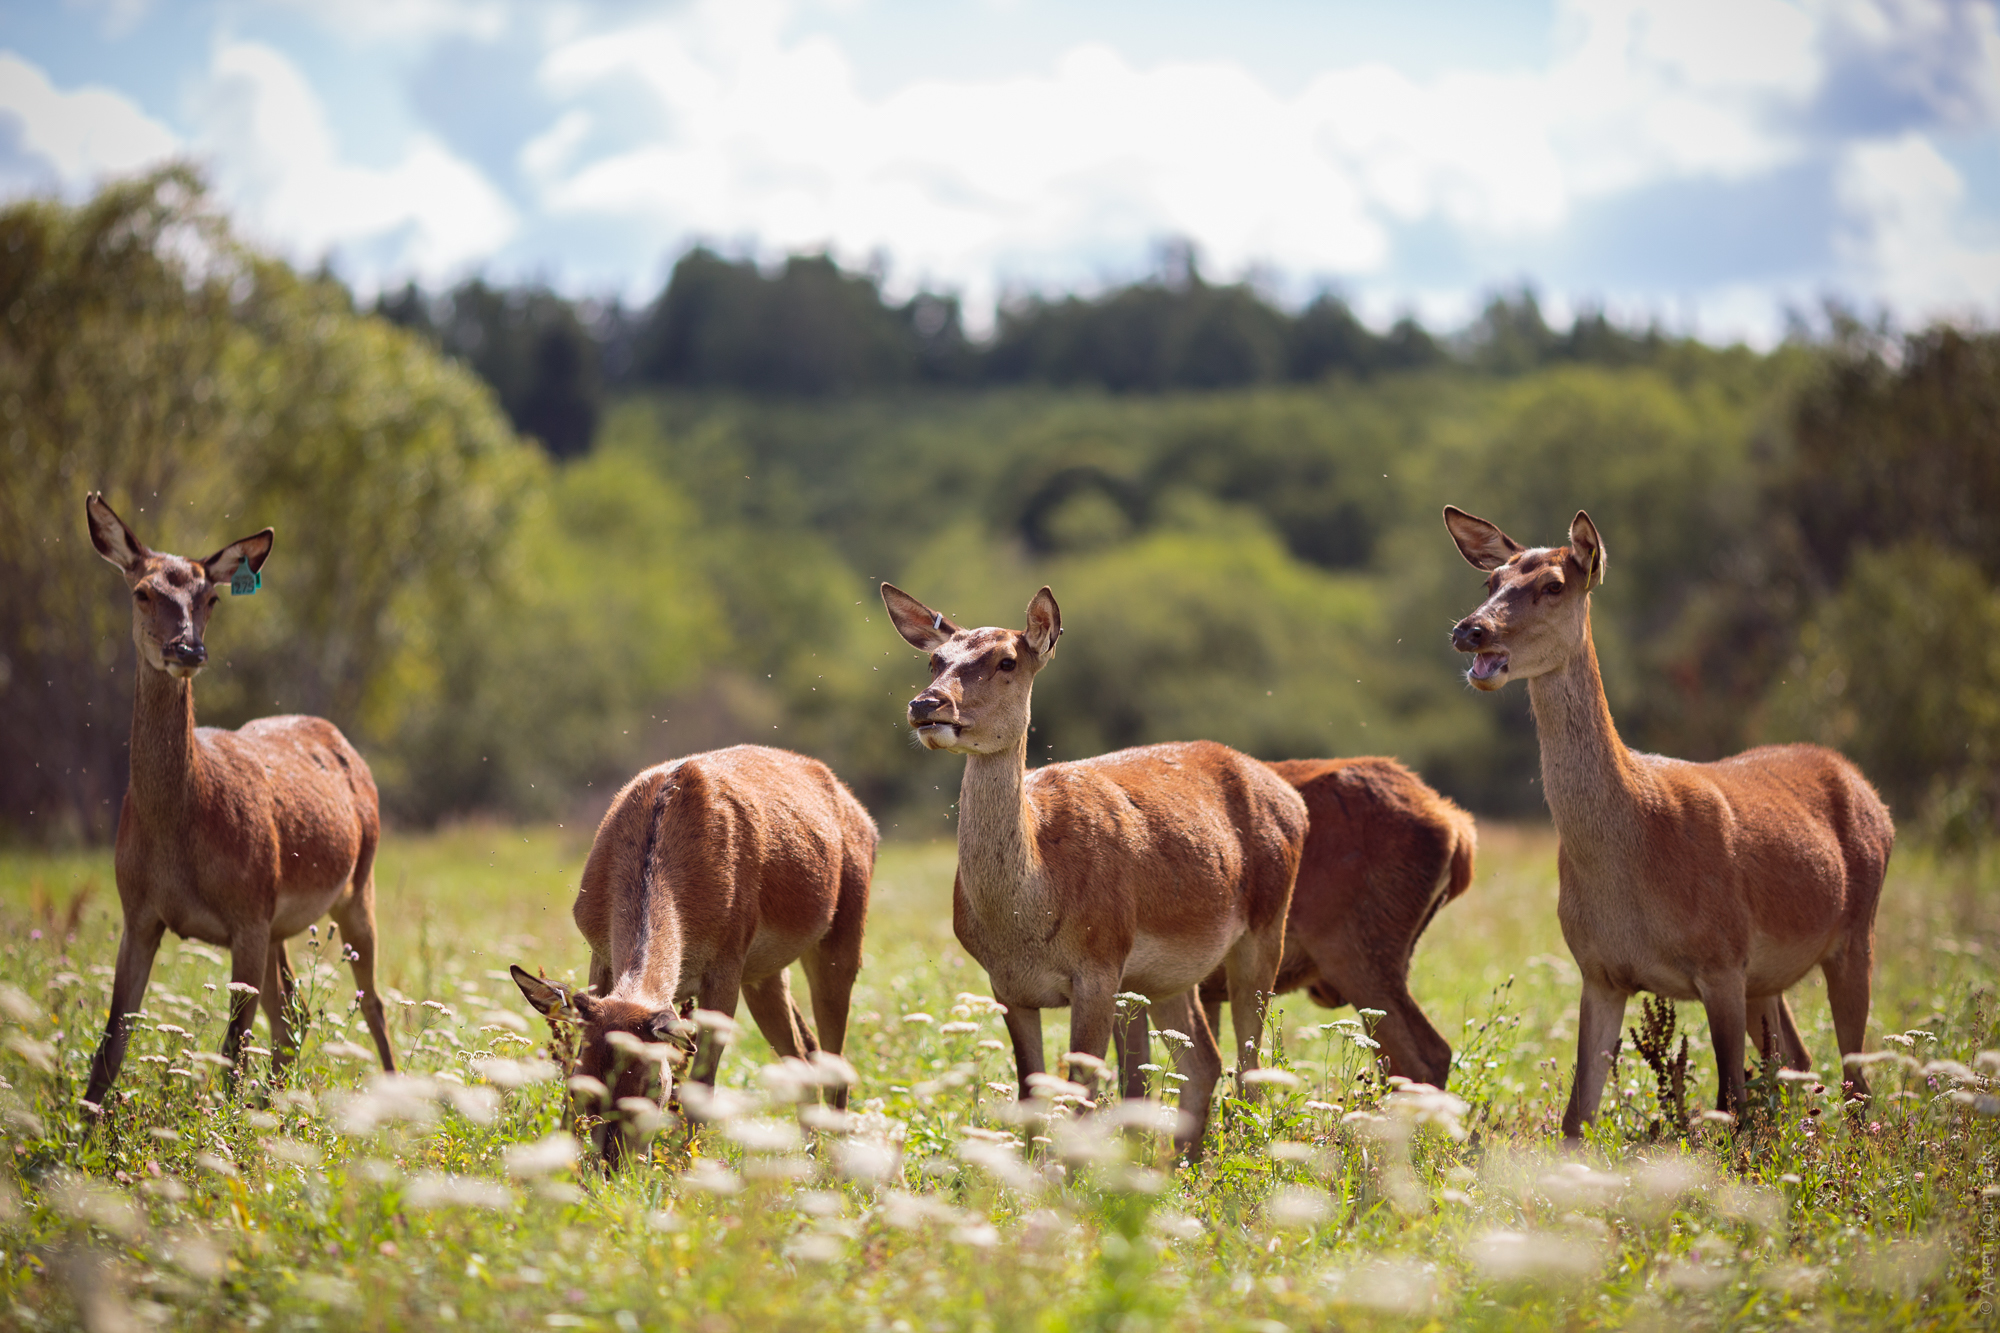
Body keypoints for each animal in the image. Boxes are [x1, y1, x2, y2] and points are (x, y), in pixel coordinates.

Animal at [82, 492, 394, 1104]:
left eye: (212, 598)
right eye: (142, 591)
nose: (187, 648)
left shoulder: (248, 910)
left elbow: (231, 1051)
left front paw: (221, 1127)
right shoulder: (138, 911)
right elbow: (110, 1044)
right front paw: (84, 1124)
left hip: (357, 885)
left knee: (369, 1002)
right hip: (280, 922)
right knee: (295, 1012)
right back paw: (276, 1106)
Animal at [512, 740, 872, 1160]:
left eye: (653, 1082)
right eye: (586, 1082)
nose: (613, 1164)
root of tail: (860, 812)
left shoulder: (726, 964)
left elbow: (702, 1085)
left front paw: (689, 1164)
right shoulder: (599, 954)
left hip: (843, 936)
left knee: (834, 1057)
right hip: (765, 974)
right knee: (802, 1050)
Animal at [884, 580, 1304, 1152]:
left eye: (1007, 660)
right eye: (935, 660)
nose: (927, 704)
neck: (1029, 917)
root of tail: (1293, 799)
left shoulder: (1099, 967)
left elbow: (1080, 1096)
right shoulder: (1006, 986)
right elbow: (1032, 1096)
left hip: (1266, 928)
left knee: (1250, 1065)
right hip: (1166, 976)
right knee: (1203, 1060)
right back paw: (1183, 1164)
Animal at [1440, 500, 1888, 1128]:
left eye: (1554, 585)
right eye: (1491, 581)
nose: (1470, 630)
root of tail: (1866, 787)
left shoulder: (1722, 960)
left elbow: (1730, 1108)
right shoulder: (1599, 970)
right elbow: (1576, 1116)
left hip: (1855, 933)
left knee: (1856, 1082)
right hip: (1768, 978)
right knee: (1799, 1064)